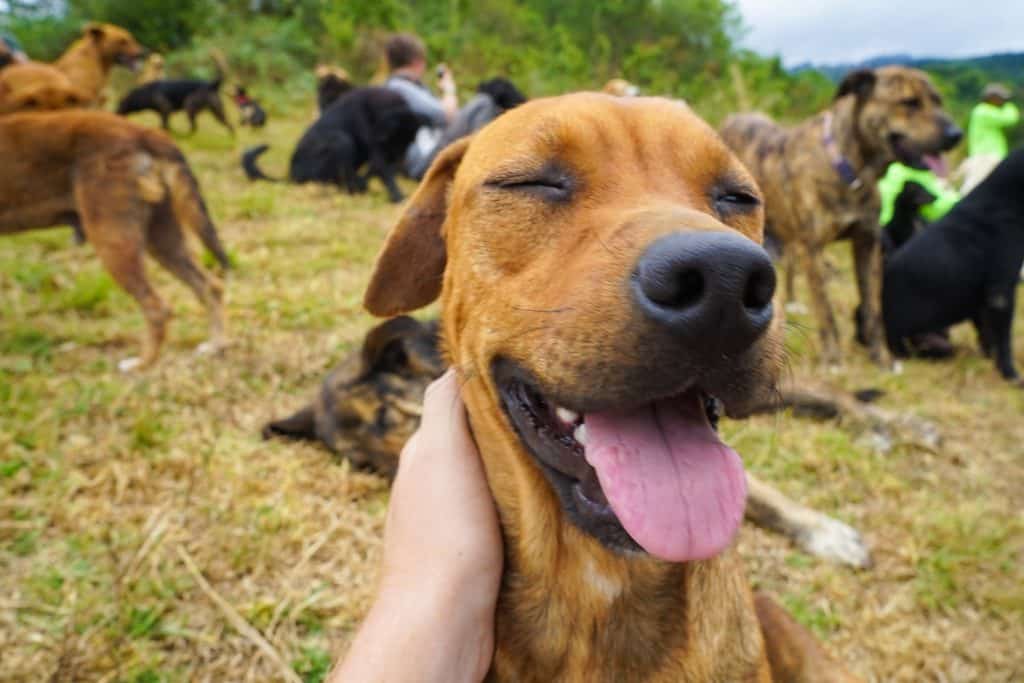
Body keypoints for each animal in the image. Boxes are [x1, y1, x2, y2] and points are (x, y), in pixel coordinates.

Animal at [243, 86, 419, 202]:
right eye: (394, 142)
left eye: (408, 144)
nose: (399, 161)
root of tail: (291, 175)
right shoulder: (376, 147)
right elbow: (383, 171)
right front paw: (398, 196)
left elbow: (377, 170)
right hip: (341, 140)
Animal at [720, 68, 958, 368]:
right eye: (909, 102)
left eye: (937, 100)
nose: (956, 134)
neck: (851, 167)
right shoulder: (813, 250)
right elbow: (826, 311)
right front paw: (833, 359)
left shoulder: (867, 244)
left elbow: (872, 308)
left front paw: (881, 357)